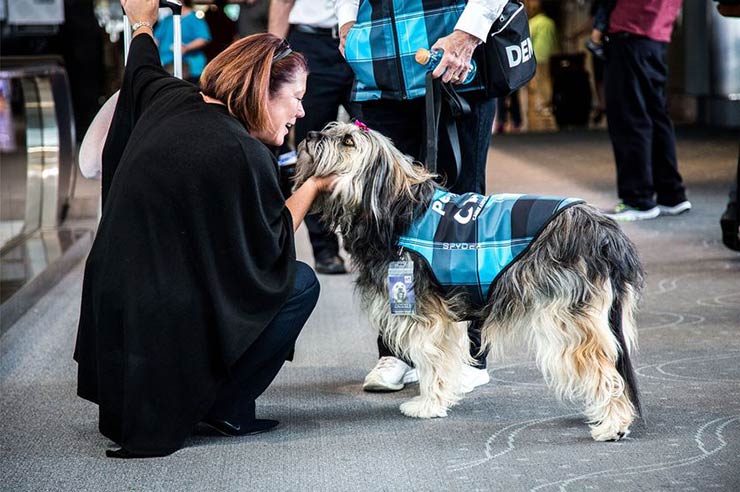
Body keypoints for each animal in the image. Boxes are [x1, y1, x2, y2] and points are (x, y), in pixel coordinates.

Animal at [294, 121, 640, 440]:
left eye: (348, 141)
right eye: (331, 130)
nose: (310, 135)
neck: (399, 211)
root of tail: (601, 228)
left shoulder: (424, 313)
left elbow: (430, 359)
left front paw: (428, 405)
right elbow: (443, 358)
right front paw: (442, 397)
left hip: (565, 319)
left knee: (606, 372)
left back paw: (612, 424)